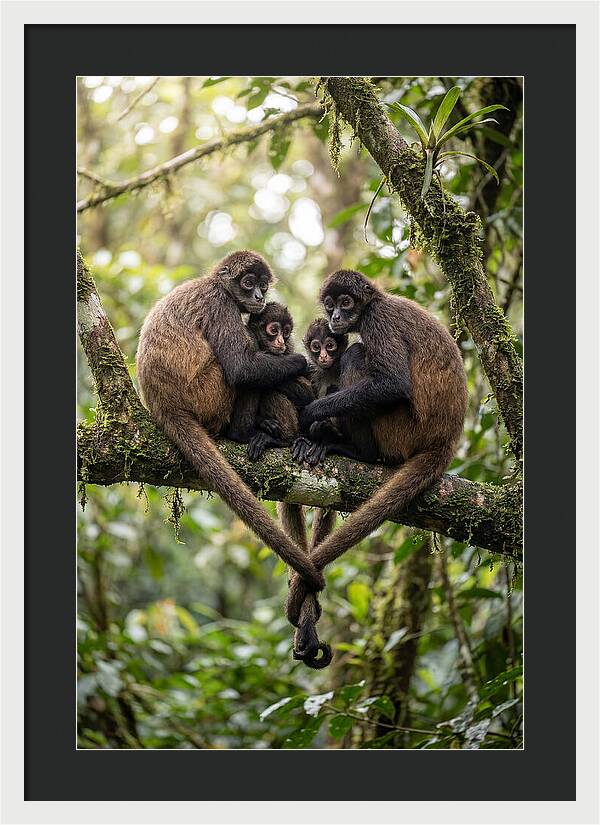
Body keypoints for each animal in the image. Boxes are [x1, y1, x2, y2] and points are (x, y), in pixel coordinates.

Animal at [136, 251, 325, 593]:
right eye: (248, 283)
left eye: (263, 285)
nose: (259, 296)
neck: (214, 284)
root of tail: (163, 405)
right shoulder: (220, 303)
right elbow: (240, 367)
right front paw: (300, 362)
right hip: (208, 395)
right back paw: (243, 433)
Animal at [286, 268, 468, 627]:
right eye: (330, 305)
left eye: (346, 302)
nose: (336, 317)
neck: (376, 302)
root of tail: (445, 440)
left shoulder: (377, 320)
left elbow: (392, 383)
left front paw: (312, 416)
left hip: (400, 429)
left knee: (357, 354)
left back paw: (355, 450)